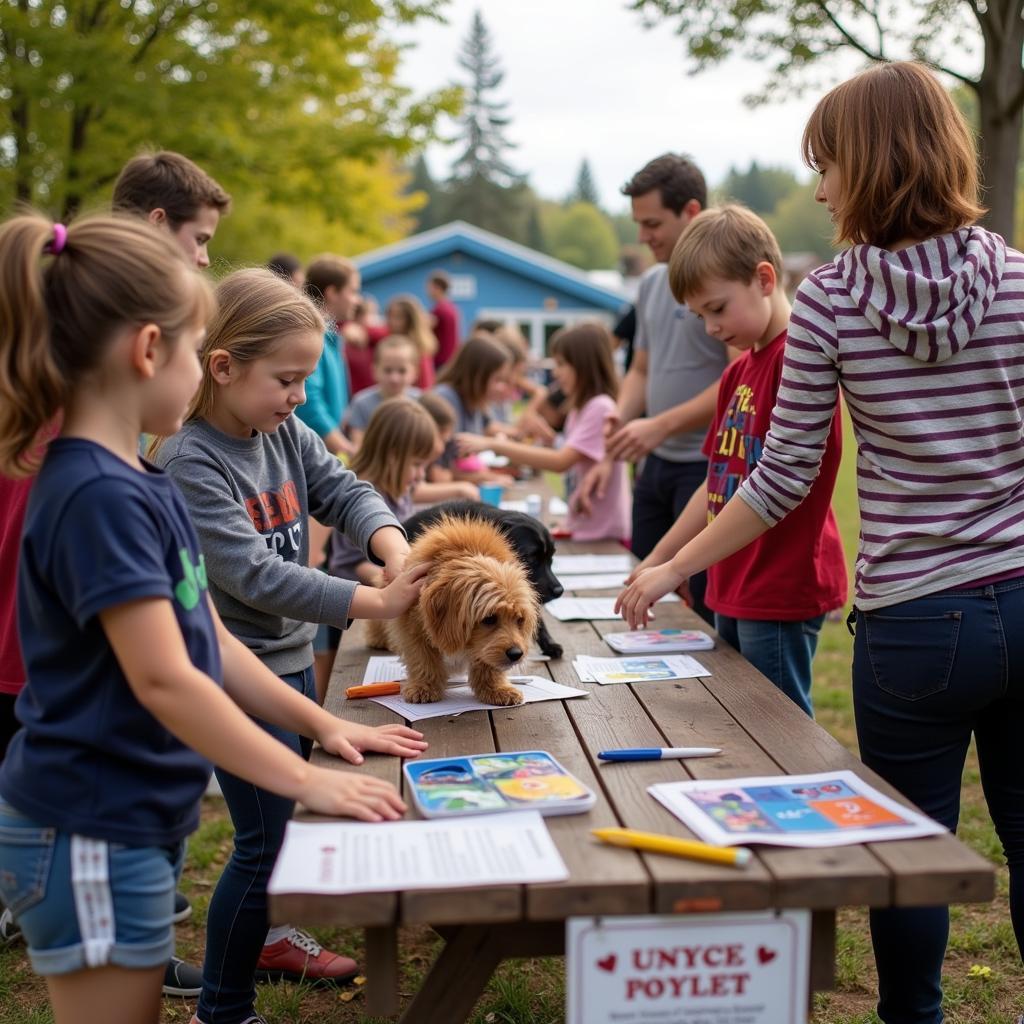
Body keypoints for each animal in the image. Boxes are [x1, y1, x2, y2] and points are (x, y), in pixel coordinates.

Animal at [370, 512, 544, 704]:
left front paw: (496, 689)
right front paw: (424, 686)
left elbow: (487, 662)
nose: (516, 654)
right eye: (489, 618)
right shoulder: (412, 627)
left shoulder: (484, 646)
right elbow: (423, 658)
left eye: (519, 619)